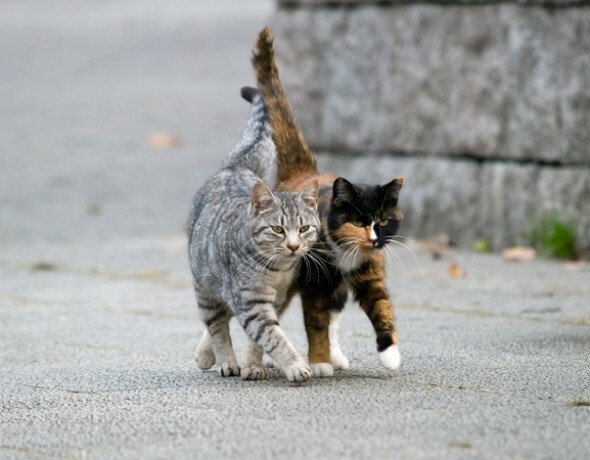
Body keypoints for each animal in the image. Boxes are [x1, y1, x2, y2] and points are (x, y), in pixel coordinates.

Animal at [188, 86, 320, 380]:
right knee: (217, 325)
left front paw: (253, 364)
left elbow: (258, 340)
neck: (279, 270)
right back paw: (225, 361)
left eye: (304, 228)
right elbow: (273, 337)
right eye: (278, 229)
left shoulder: (275, 299)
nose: (294, 246)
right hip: (205, 287)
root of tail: (234, 167)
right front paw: (295, 366)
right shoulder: (252, 303)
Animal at [247, 26, 404, 378]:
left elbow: (382, 306)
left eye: (383, 222)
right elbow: (315, 321)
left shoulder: (371, 273)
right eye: (358, 221)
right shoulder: (315, 283)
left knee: (335, 313)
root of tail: (304, 173)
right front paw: (318, 362)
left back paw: (337, 355)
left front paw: (390, 353)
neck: (346, 252)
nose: (374, 239)